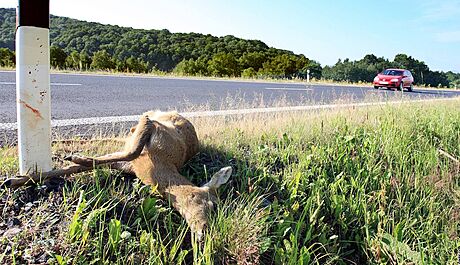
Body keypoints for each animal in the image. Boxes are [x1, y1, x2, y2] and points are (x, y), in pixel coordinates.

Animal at [4, 110, 230, 238]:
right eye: (212, 205)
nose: (204, 233)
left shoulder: (127, 163)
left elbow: (85, 166)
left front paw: (15, 180)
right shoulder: (153, 126)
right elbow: (132, 150)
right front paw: (73, 157)